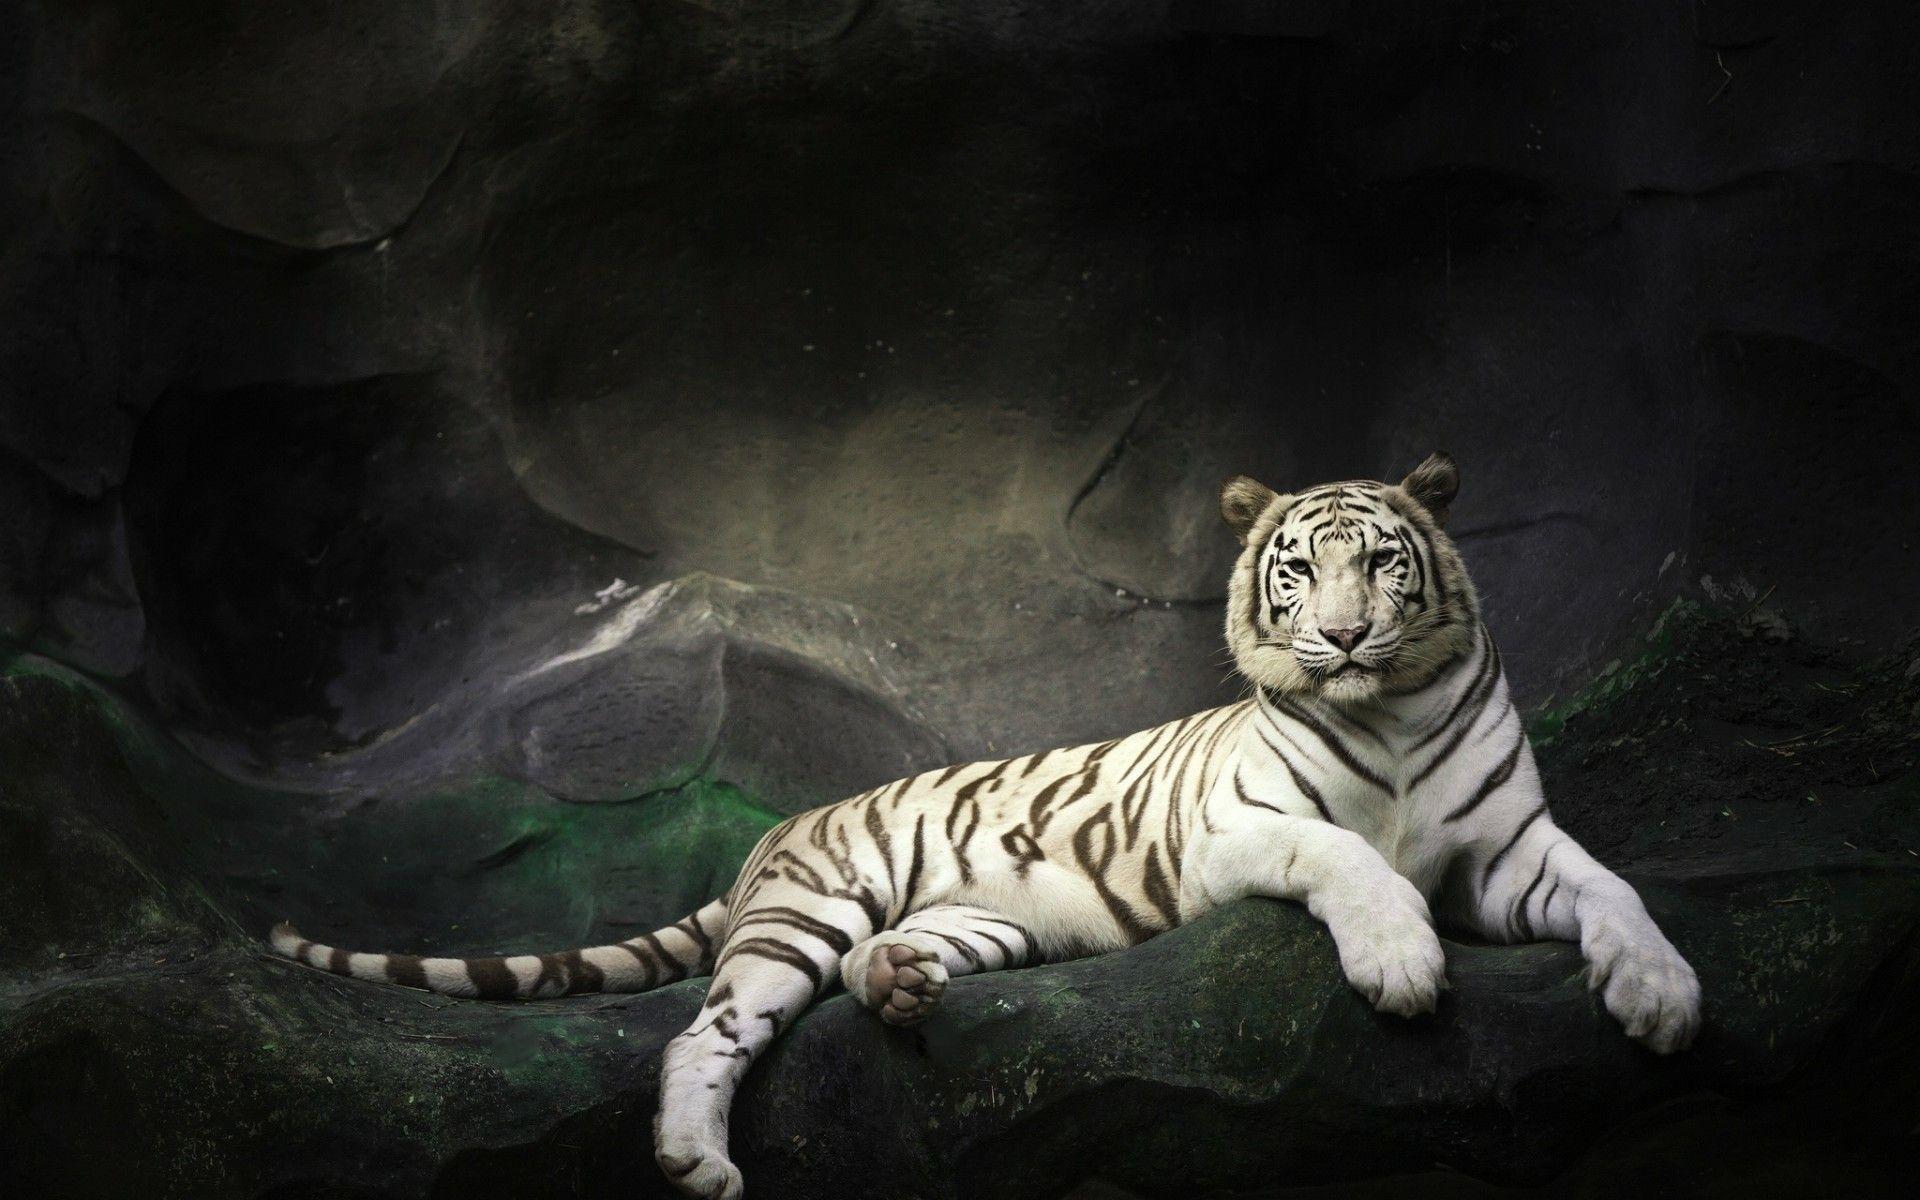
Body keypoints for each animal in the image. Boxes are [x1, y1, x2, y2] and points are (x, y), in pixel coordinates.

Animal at [271, 452, 1700, 1200]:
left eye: (1385, 565)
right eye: (1300, 571)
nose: (1344, 637)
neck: (1390, 713)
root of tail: (770, 838)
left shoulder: (1509, 853)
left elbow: (1616, 890)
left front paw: (1665, 997)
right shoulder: (1235, 831)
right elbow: (1344, 852)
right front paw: (1401, 964)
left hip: (976, 918)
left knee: (874, 967)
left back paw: (902, 985)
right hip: (806, 915)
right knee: (704, 1031)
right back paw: (696, 1160)